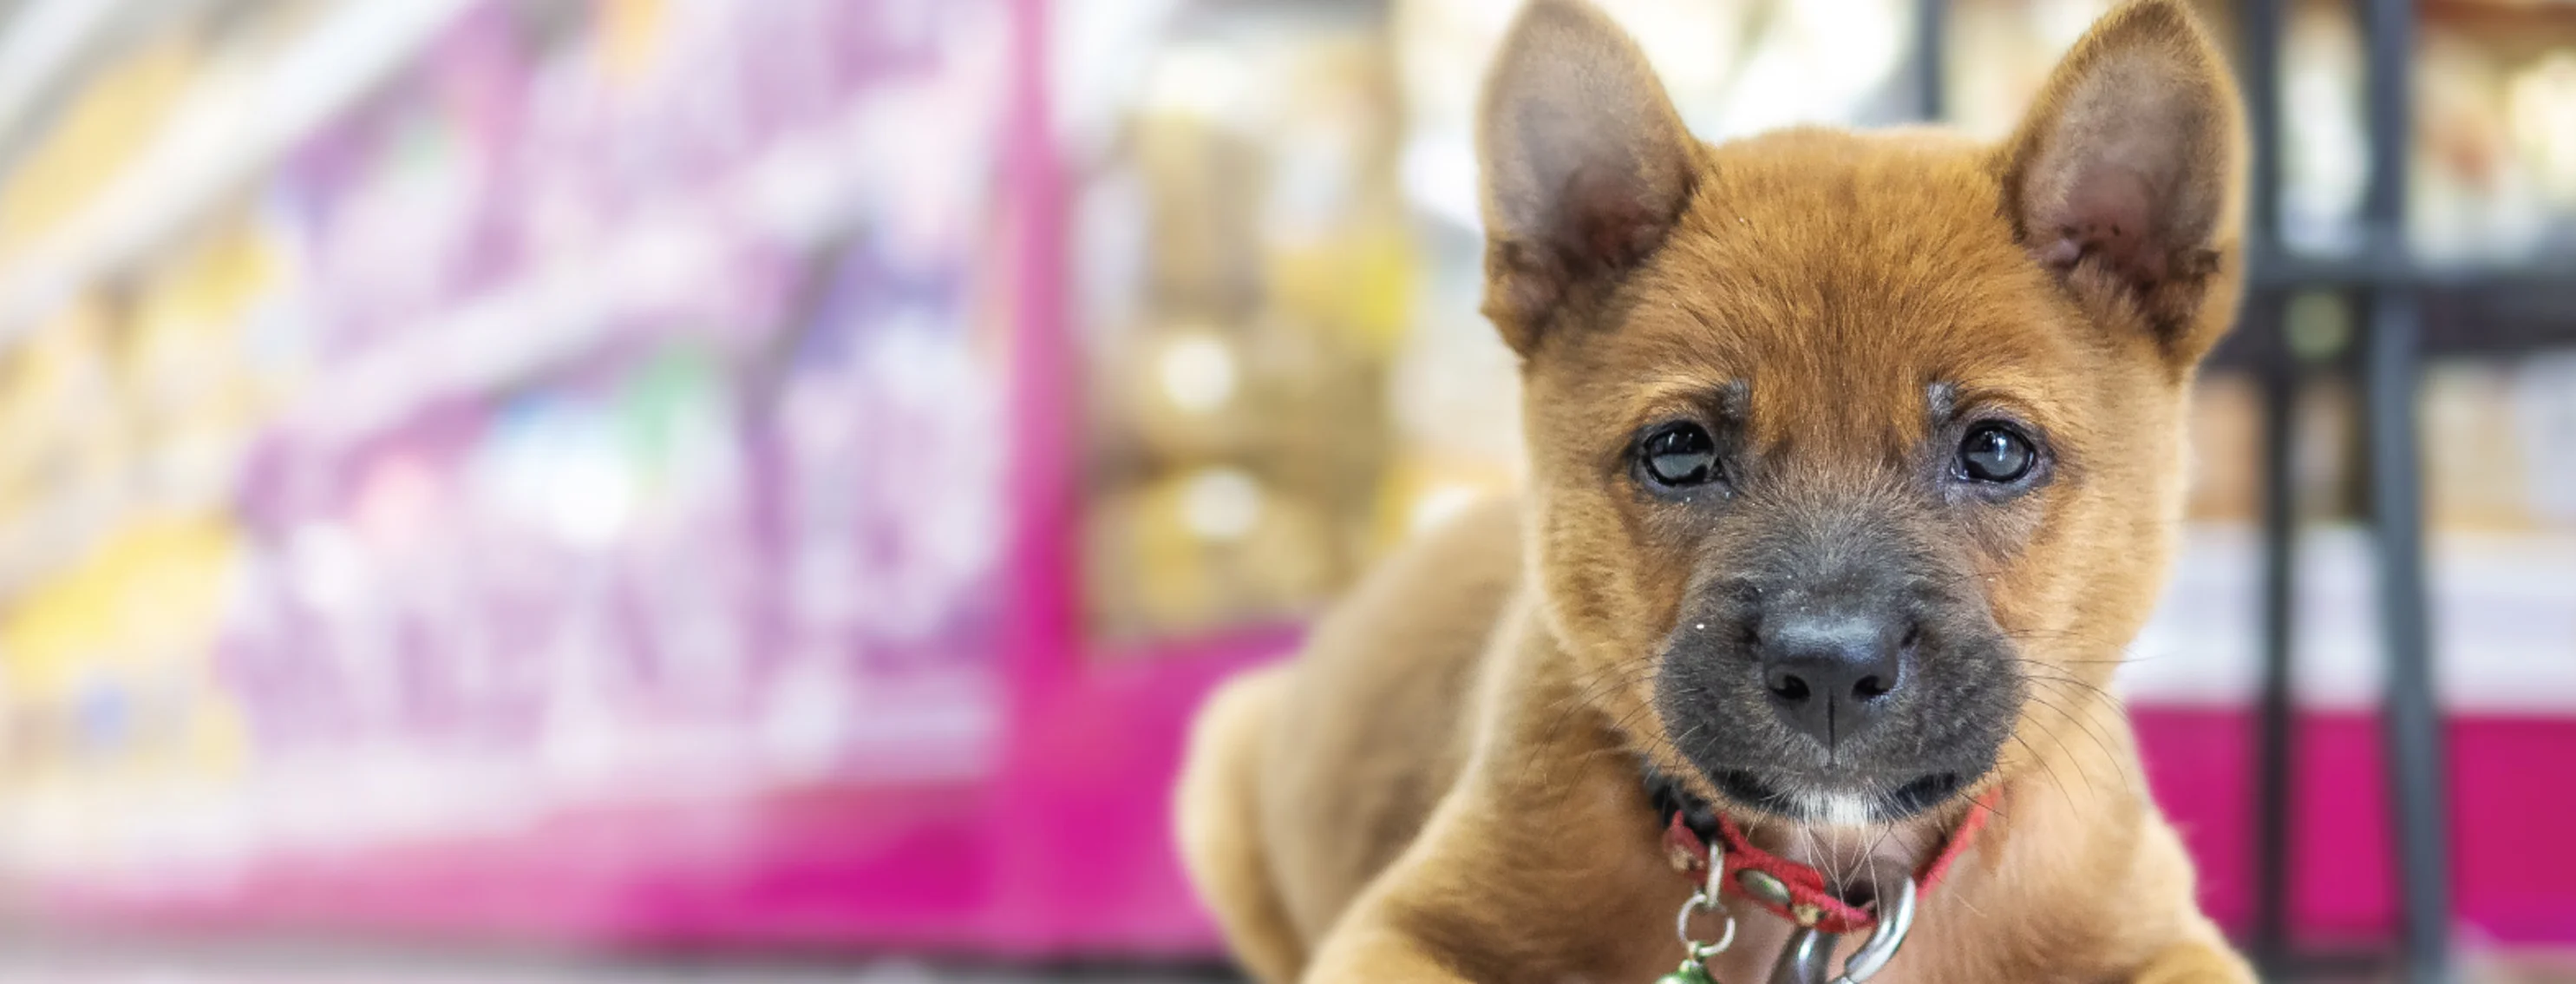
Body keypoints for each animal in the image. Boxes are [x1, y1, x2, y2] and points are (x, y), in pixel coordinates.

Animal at [1180, 2, 2256, 984]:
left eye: (1995, 451)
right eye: (1680, 454)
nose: (1830, 671)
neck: (1828, 885)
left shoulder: (2166, 938)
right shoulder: (1398, 931)